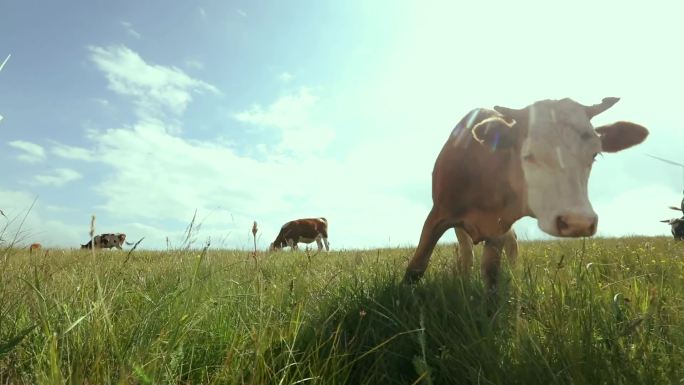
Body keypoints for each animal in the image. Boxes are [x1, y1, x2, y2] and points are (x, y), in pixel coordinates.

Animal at [404, 97, 648, 292]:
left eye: (595, 154)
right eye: (528, 155)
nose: (577, 222)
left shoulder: (498, 228)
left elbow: (491, 274)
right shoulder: (438, 215)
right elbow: (416, 267)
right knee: (466, 253)